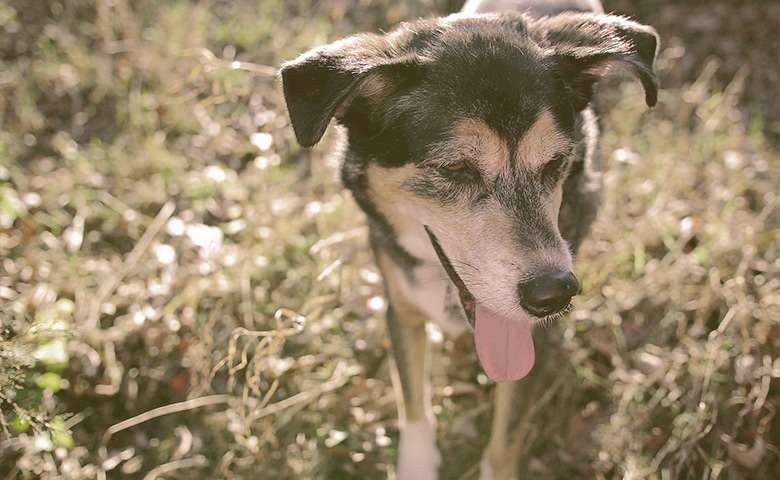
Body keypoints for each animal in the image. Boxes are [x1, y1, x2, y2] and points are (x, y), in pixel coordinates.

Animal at [280, 0, 660, 480]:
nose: (553, 294)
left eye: (556, 162)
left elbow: (504, 441)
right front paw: (417, 462)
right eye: (456, 168)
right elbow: (412, 400)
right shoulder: (400, 308)